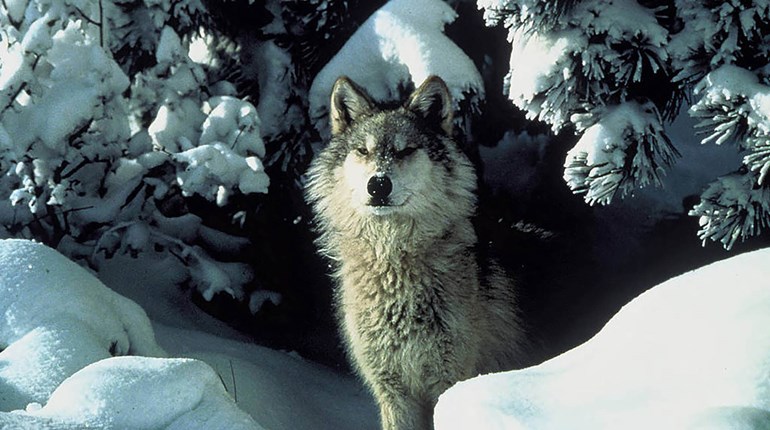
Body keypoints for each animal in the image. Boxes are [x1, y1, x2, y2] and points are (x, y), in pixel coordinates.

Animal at [306, 75, 526, 430]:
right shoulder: (393, 392)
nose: (378, 184)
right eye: (363, 150)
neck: (393, 265)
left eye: (405, 150)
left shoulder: (448, 381)